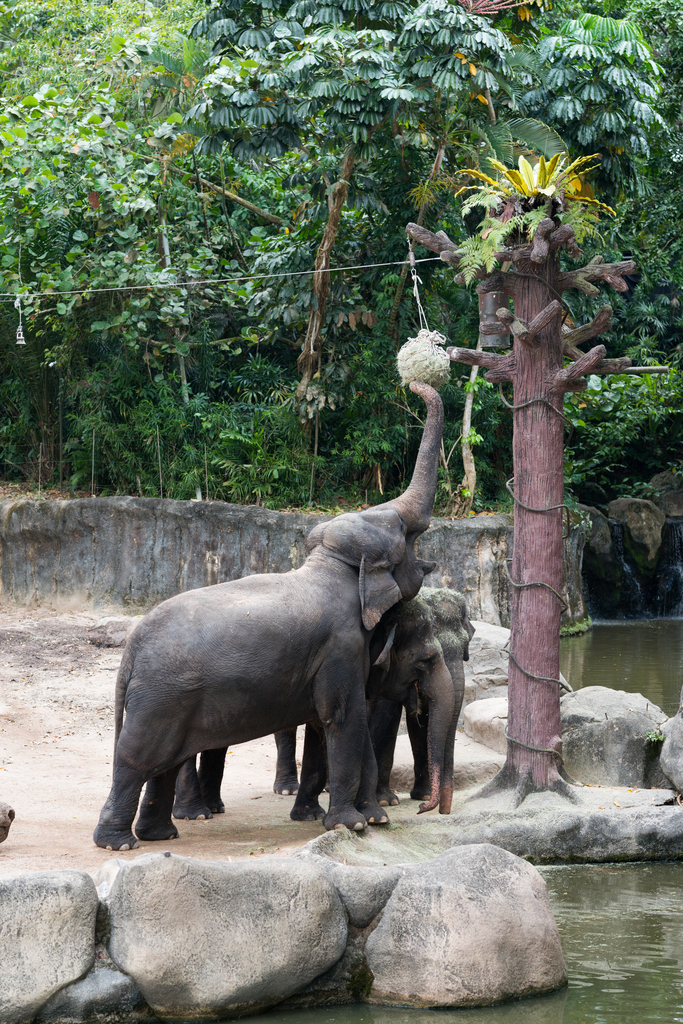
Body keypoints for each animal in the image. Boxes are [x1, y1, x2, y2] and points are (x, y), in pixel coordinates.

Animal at [94, 380, 444, 851]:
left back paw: (159, 836)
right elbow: (344, 716)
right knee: (137, 759)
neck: (333, 567)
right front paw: (353, 825)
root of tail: (129, 649)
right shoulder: (340, 648)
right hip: (160, 699)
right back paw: (119, 843)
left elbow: (330, 721)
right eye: (408, 532)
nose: (408, 382)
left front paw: (371, 819)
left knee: (162, 764)